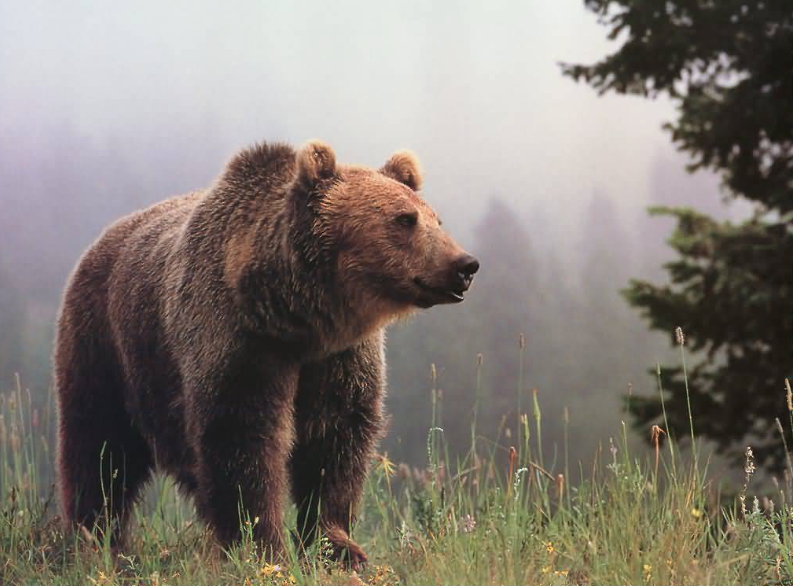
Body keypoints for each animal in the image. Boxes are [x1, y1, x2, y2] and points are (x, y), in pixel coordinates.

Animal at [53, 139, 479, 568]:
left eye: (436, 220)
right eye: (404, 219)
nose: (464, 265)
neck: (296, 319)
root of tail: (102, 238)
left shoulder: (339, 358)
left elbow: (336, 439)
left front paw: (337, 544)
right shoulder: (239, 342)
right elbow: (242, 438)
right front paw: (259, 544)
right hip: (106, 344)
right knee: (99, 447)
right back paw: (94, 538)